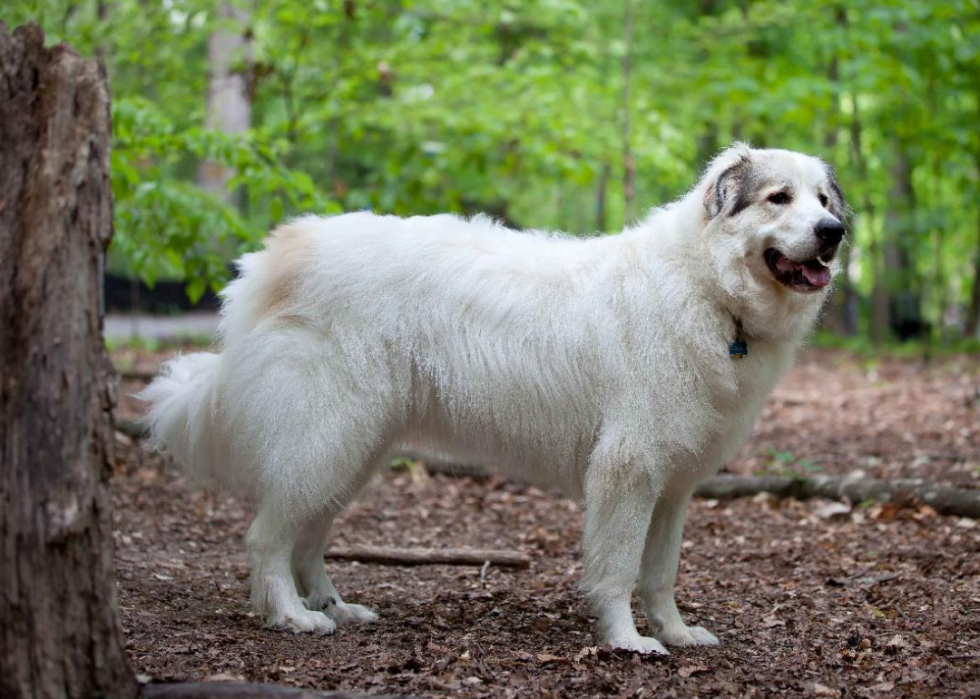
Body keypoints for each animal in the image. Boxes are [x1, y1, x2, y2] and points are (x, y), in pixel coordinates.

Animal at [140, 144, 848, 656]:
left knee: (307, 537)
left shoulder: (672, 486)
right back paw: (291, 616)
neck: (708, 289)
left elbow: (661, 573)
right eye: (779, 198)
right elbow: (619, 570)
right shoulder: (628, 471)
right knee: (267, 538)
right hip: (327, 437)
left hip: (353, 449)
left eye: (822, 199)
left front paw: (674, 632)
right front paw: (628, 642)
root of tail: (273, 255)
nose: (834, 231)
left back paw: (335, 607)